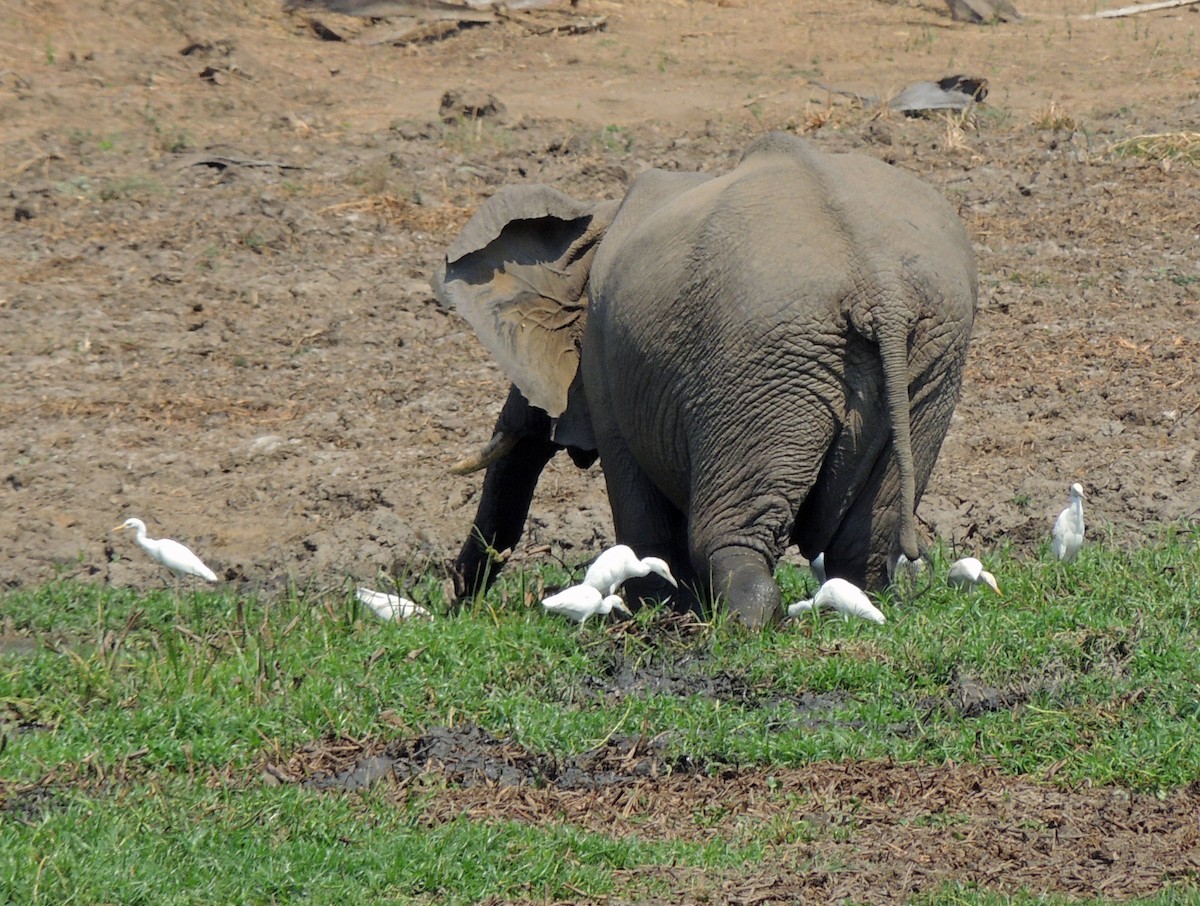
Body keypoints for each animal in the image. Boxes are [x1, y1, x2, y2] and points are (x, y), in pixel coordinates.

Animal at [432, 132, 974, 628]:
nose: (457, 602)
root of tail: (880, 285)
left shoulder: (608, 363)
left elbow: (636, 496)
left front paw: (657, 613)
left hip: (761, 360)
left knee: (728, 538)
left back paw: (737, 627)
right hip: (931, 358)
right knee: (868, 534)